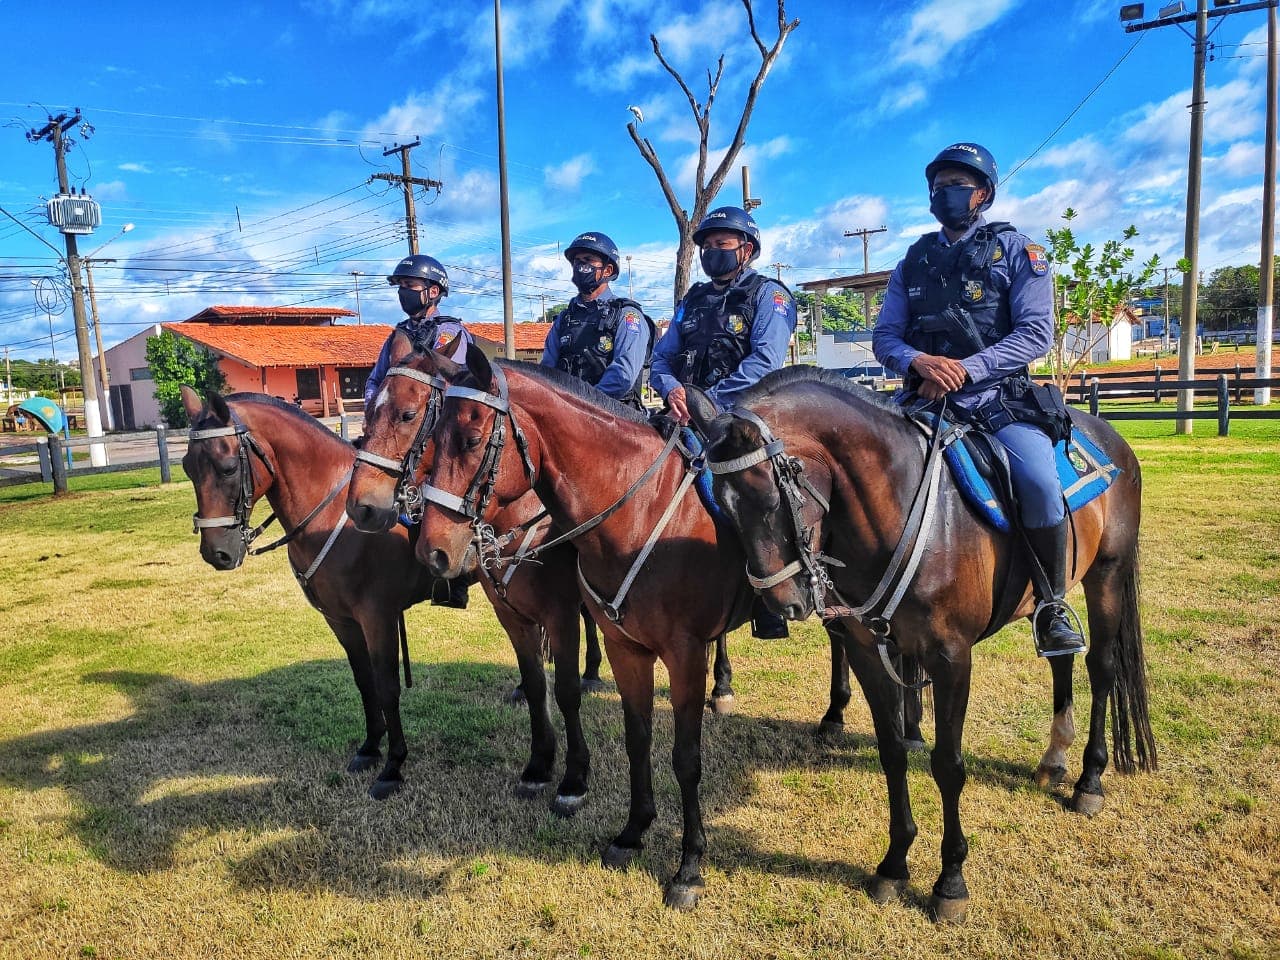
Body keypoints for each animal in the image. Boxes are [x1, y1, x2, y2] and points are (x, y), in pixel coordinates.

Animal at [414, 350, 875, 911]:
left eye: (471, 439)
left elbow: (685, 758)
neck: (639, 514)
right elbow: (637, 738)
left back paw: (846, 714)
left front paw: (689, 867)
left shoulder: (678, 653)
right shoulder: (622, 647)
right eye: (431, 438)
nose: (434, 550)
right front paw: (632, 832)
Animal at [691, 363, 1162, 921]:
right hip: (1052, 590)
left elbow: (947, 765)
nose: (779, 604)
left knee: (1102, 670)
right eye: (721, 508)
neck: (906, 515)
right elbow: (893, 751)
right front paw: (894, 864)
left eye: (771, 496)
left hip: (1106, 576)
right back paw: (1054, 759)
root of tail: (1110, 436)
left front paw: (950, 880)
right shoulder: (868, 652)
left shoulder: (951, 659)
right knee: (1061, 657)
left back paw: (1089, 781)